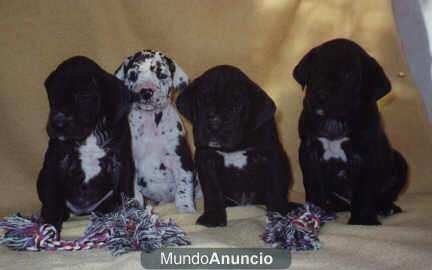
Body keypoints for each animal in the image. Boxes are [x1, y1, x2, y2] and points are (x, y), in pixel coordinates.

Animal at [38, 56, 134, 231]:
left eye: (83, 97)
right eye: (53, 96)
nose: (57, 123)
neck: (90, 134)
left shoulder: (121, 163)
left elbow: (124, 192)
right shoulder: (56, 162)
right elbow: (53, 199)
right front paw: (50, 227)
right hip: (41, 178)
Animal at [114, 49, 197, 212]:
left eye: (162, 75)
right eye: (133, 75)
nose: (146, 91)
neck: (150, 123)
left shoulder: (181, 160)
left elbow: (184, 185)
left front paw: (186, 208)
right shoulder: (130, 163)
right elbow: (133, 190)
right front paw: (135, 208)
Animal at [177, 66, 296, 228]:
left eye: (236, 106)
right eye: (201, 101)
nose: (214, 122)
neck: (234, 148)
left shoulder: (271, 157)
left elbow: (275, 188)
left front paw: (279, 217)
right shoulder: (206, 160)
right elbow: (212, 191)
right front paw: (213, 217)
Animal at [294, 37, 408, 224]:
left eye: (349, 75)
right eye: (316, 70)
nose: (320, 96)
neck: (334, 120)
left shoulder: (367, 156)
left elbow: (364, 190)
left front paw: (363, 220)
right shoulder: (309, 152)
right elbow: (313, 184)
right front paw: (315, 212)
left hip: (400, 161)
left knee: (386, 195)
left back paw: (387, 208)